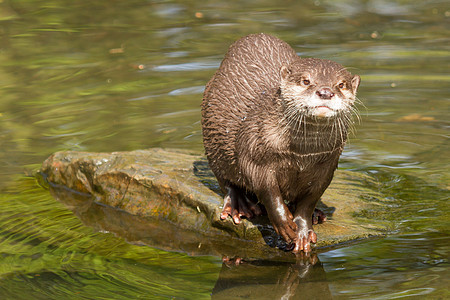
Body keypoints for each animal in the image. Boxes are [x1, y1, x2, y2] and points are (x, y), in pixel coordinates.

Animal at [202, 33, 360, 253]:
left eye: (341, 84)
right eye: (306, 81)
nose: (325, 92)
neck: (301, 154)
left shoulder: (327, 164)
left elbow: (310, 200)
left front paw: (303, 229)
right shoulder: (255, 152)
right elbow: (268, 192)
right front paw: (285, 223)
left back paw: (317, 214)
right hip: (212, 141)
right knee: (225, 180)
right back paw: (240, 205)